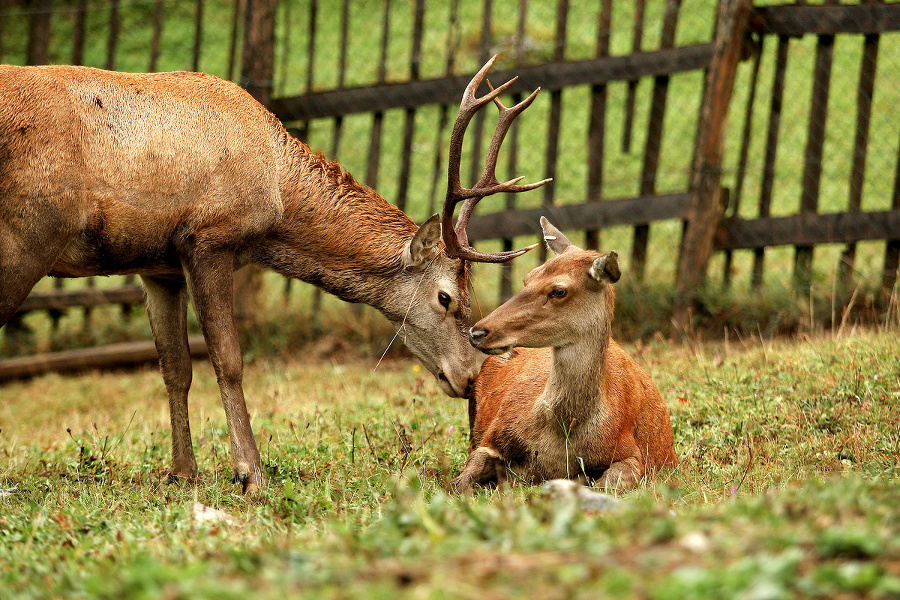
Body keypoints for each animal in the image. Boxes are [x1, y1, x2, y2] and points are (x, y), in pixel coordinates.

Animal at [0, 55, 544, 492]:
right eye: (446, 297)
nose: (471, 377)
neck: (276, 197)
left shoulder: (158, 266)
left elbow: (175, 369)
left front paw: (182, 473)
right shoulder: (208, 238)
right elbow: (229, 360)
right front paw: (250, 473)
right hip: (27, 235)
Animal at [454, 218, 680, 494]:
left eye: (559, 291)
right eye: (528, 277)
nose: (477, 331)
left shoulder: (632, 452)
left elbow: (610, 482)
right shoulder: (494, 434)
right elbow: (458, 482)